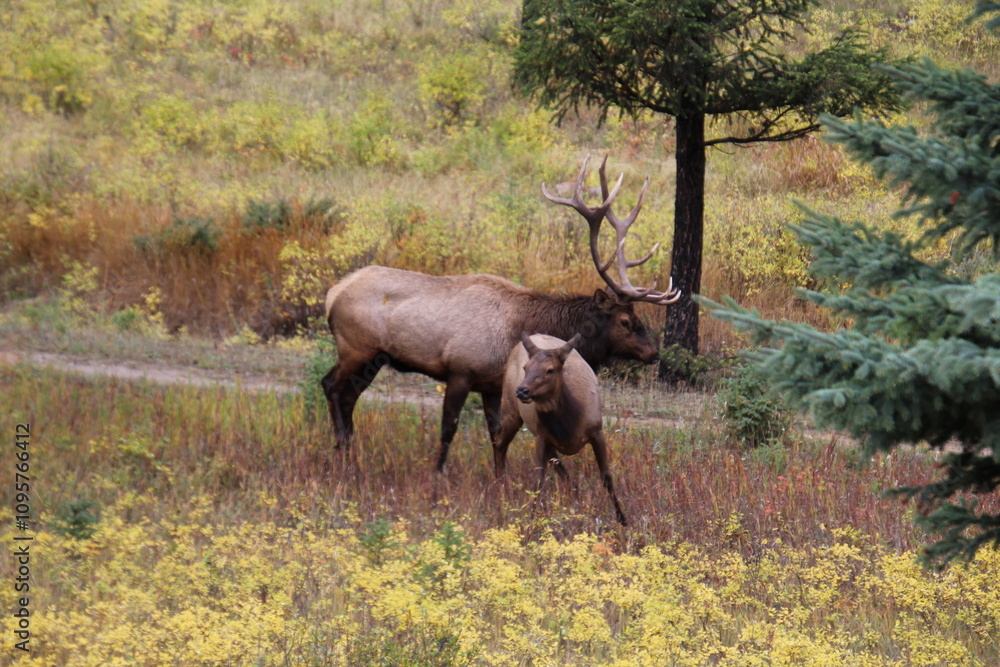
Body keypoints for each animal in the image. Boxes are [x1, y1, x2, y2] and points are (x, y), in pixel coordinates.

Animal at [322, 155, 680, 472]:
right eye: (626, 321)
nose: (653, 352)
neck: (515, 333)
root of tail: (332, 294)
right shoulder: (461, 370)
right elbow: (449, 429)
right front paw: (438, 476)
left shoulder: (491, 384)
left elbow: (498, 436)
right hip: (356, 347)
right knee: (332, 386)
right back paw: (342, 451)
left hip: (373, 358)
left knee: (347, 395)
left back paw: (349, 450)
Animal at [496, 332, 627, 525]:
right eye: (526, 367)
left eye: (550, 370)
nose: (522, 391)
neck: (569, 425)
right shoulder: (541, 437)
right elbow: (538, 482)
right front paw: (532, 520)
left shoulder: (597, 432)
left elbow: (607, 477)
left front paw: (622, 519)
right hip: (510, 408)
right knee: (499, 442)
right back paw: (500, 487)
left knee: (562, 471)